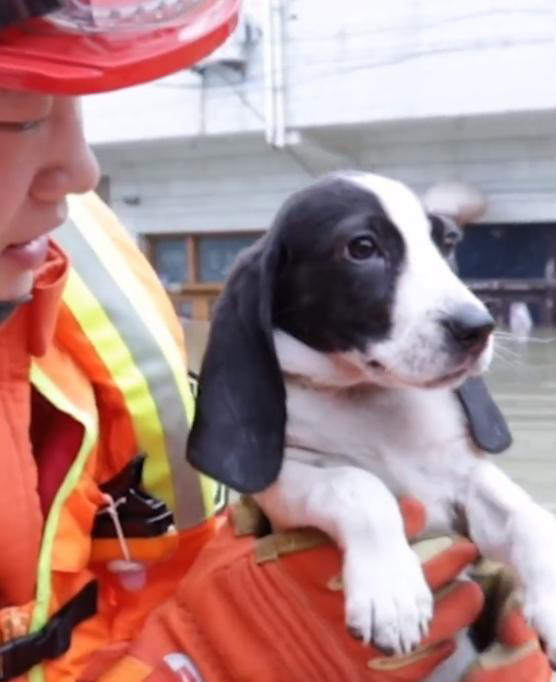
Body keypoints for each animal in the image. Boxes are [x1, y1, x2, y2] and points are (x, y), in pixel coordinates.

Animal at [188, 171, 556, 676]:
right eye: (362, 248)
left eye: (447, 242)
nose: (477, 328)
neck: (369, 399)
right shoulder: (283, 484)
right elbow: (357, 484)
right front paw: (392, 588)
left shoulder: (464, 482)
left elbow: (525, 514)